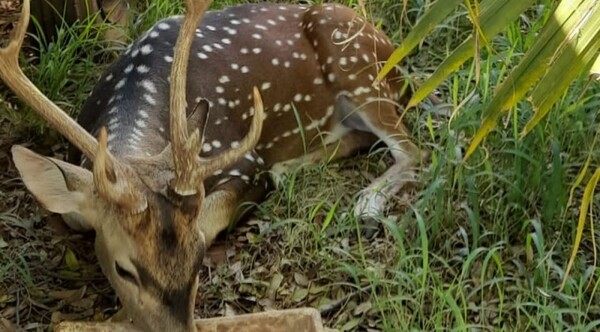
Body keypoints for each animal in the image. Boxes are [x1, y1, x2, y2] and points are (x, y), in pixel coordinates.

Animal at [1, 0, 422, 332]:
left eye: (201, 257)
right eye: (123, 269)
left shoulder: (245, 160)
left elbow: (212, 213)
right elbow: (75, 216)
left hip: (359, 69)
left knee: (413, 151)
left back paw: (366, 204)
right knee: (363, 139)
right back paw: (295, 168)